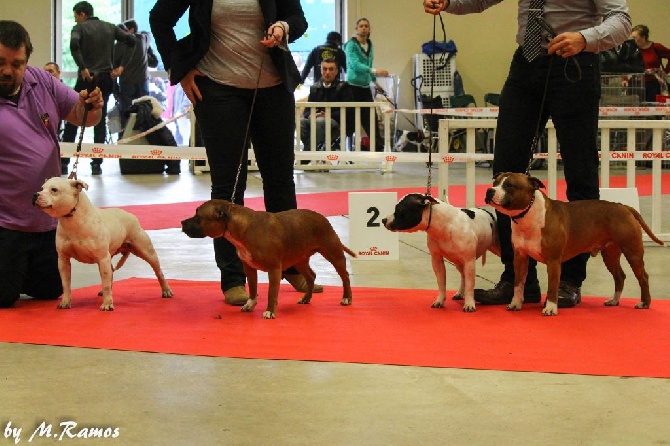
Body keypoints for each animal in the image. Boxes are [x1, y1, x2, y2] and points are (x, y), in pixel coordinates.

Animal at [33, 178, 173, 310]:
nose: (35, 194)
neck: (73, 220)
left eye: (54, 190)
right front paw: (65, 302)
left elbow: (105, 282)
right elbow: (66, 284)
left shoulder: (102, 258)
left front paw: (107, 304)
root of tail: (130, 215)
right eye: (41, 188)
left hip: (146, 251)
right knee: (110, 274)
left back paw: (166, 291)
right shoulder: (63, 260)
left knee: (158, 272)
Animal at [181, 200, 354, 318]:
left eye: (198, 216)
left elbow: (272, 292)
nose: (182, 222)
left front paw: (270, 311)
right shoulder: (249, 268)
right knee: (311, 276)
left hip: (334, 254)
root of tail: (323, 218)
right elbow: (252, 289)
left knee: (345, 276)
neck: (242, 227)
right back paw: (306, 298)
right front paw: (250, 305)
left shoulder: (274, 269)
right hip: (299, 260)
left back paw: (346, 298)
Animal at [486, 172, 664, 316]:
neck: (528, 215)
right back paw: (614, 300)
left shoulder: (553, 261)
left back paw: (644, 303)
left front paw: (551, 308)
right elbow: (518, 284)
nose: (489, 191)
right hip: (610, 254)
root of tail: (624, 207)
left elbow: (552, 286)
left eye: (509, 185)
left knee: (643, 277)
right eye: (495, 182)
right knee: (620, 276)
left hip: (632, 251)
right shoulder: (520, 258)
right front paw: (515, 303)